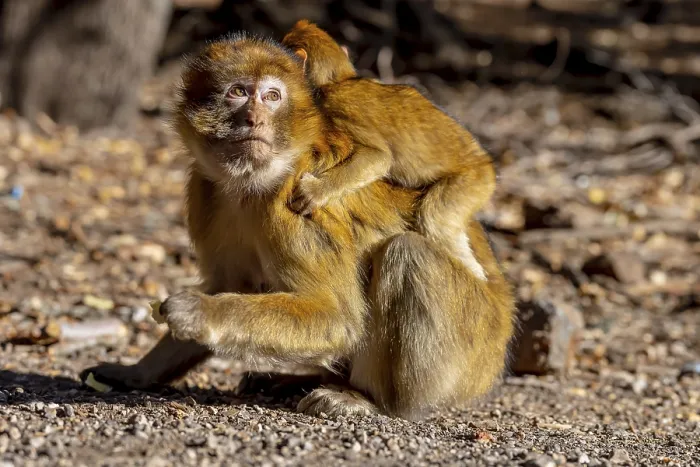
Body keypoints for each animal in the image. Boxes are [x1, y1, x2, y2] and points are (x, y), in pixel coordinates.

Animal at [281, 20, 495, 281]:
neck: (339, 80)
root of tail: (484, 162)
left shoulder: (335, 104)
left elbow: (380, 157)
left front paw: (315, 192)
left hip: (471, 182)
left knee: (433, 221)